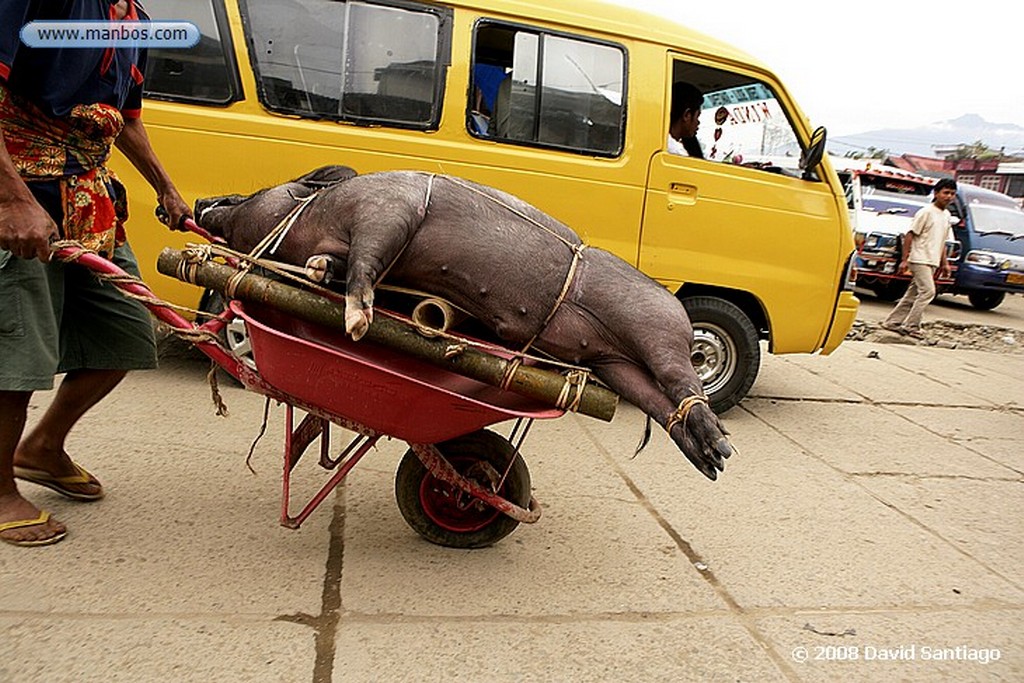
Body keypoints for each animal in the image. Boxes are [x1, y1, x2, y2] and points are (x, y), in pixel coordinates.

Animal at [195, 165, 733, 481]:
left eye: (251, 192)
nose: (199, 202)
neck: (320, 221)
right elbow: (335, 268)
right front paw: (320, 271)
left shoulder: (386, 209)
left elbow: (366, 261)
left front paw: (356, 325)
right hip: (614, 365)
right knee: (660, 404)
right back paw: (708, 462)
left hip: (657, 330)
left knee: (683, 381)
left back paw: (720, 449)